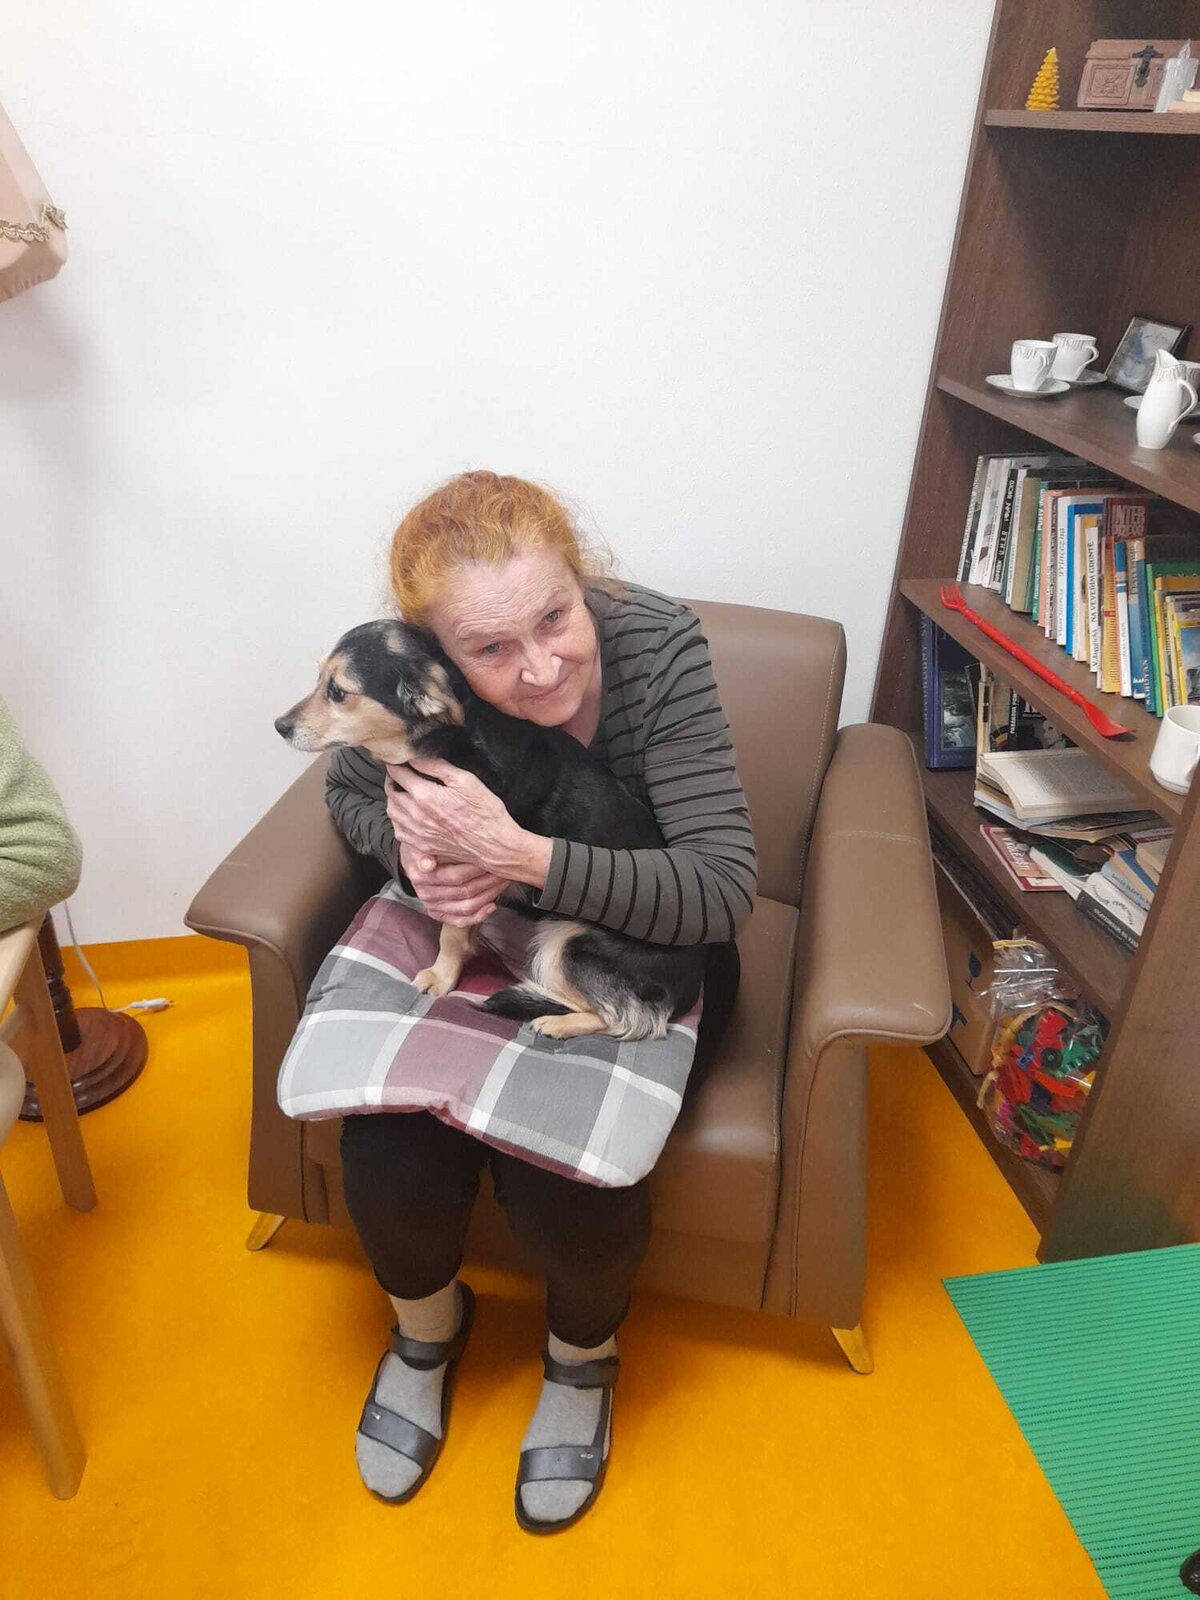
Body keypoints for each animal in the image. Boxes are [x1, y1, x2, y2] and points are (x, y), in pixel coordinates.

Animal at [275, 620, 705, 1041]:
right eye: (319, 679)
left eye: (337, 691)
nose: (280, 726)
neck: (442, 740)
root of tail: (688, 990)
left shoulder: (465, 870)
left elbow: (450, 933)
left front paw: (441, 977)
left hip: (569, 941)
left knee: (630, 1018)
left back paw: (555, 1021)